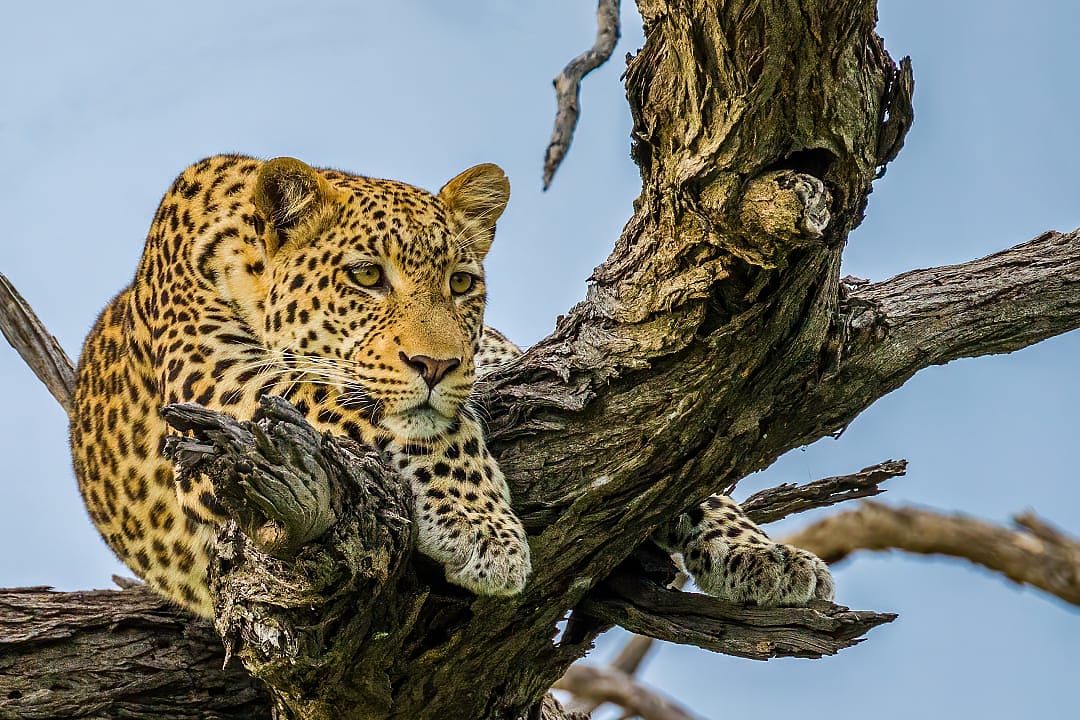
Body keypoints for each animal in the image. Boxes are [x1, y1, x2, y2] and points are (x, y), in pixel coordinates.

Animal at [70, 154, 833, 618]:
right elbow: (401, 420)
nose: (435, 365)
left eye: (462, 283)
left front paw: (761, 551)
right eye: (366, 276)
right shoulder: (219, 387)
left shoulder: (495, 358)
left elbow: (695, 470)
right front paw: (482, 530)